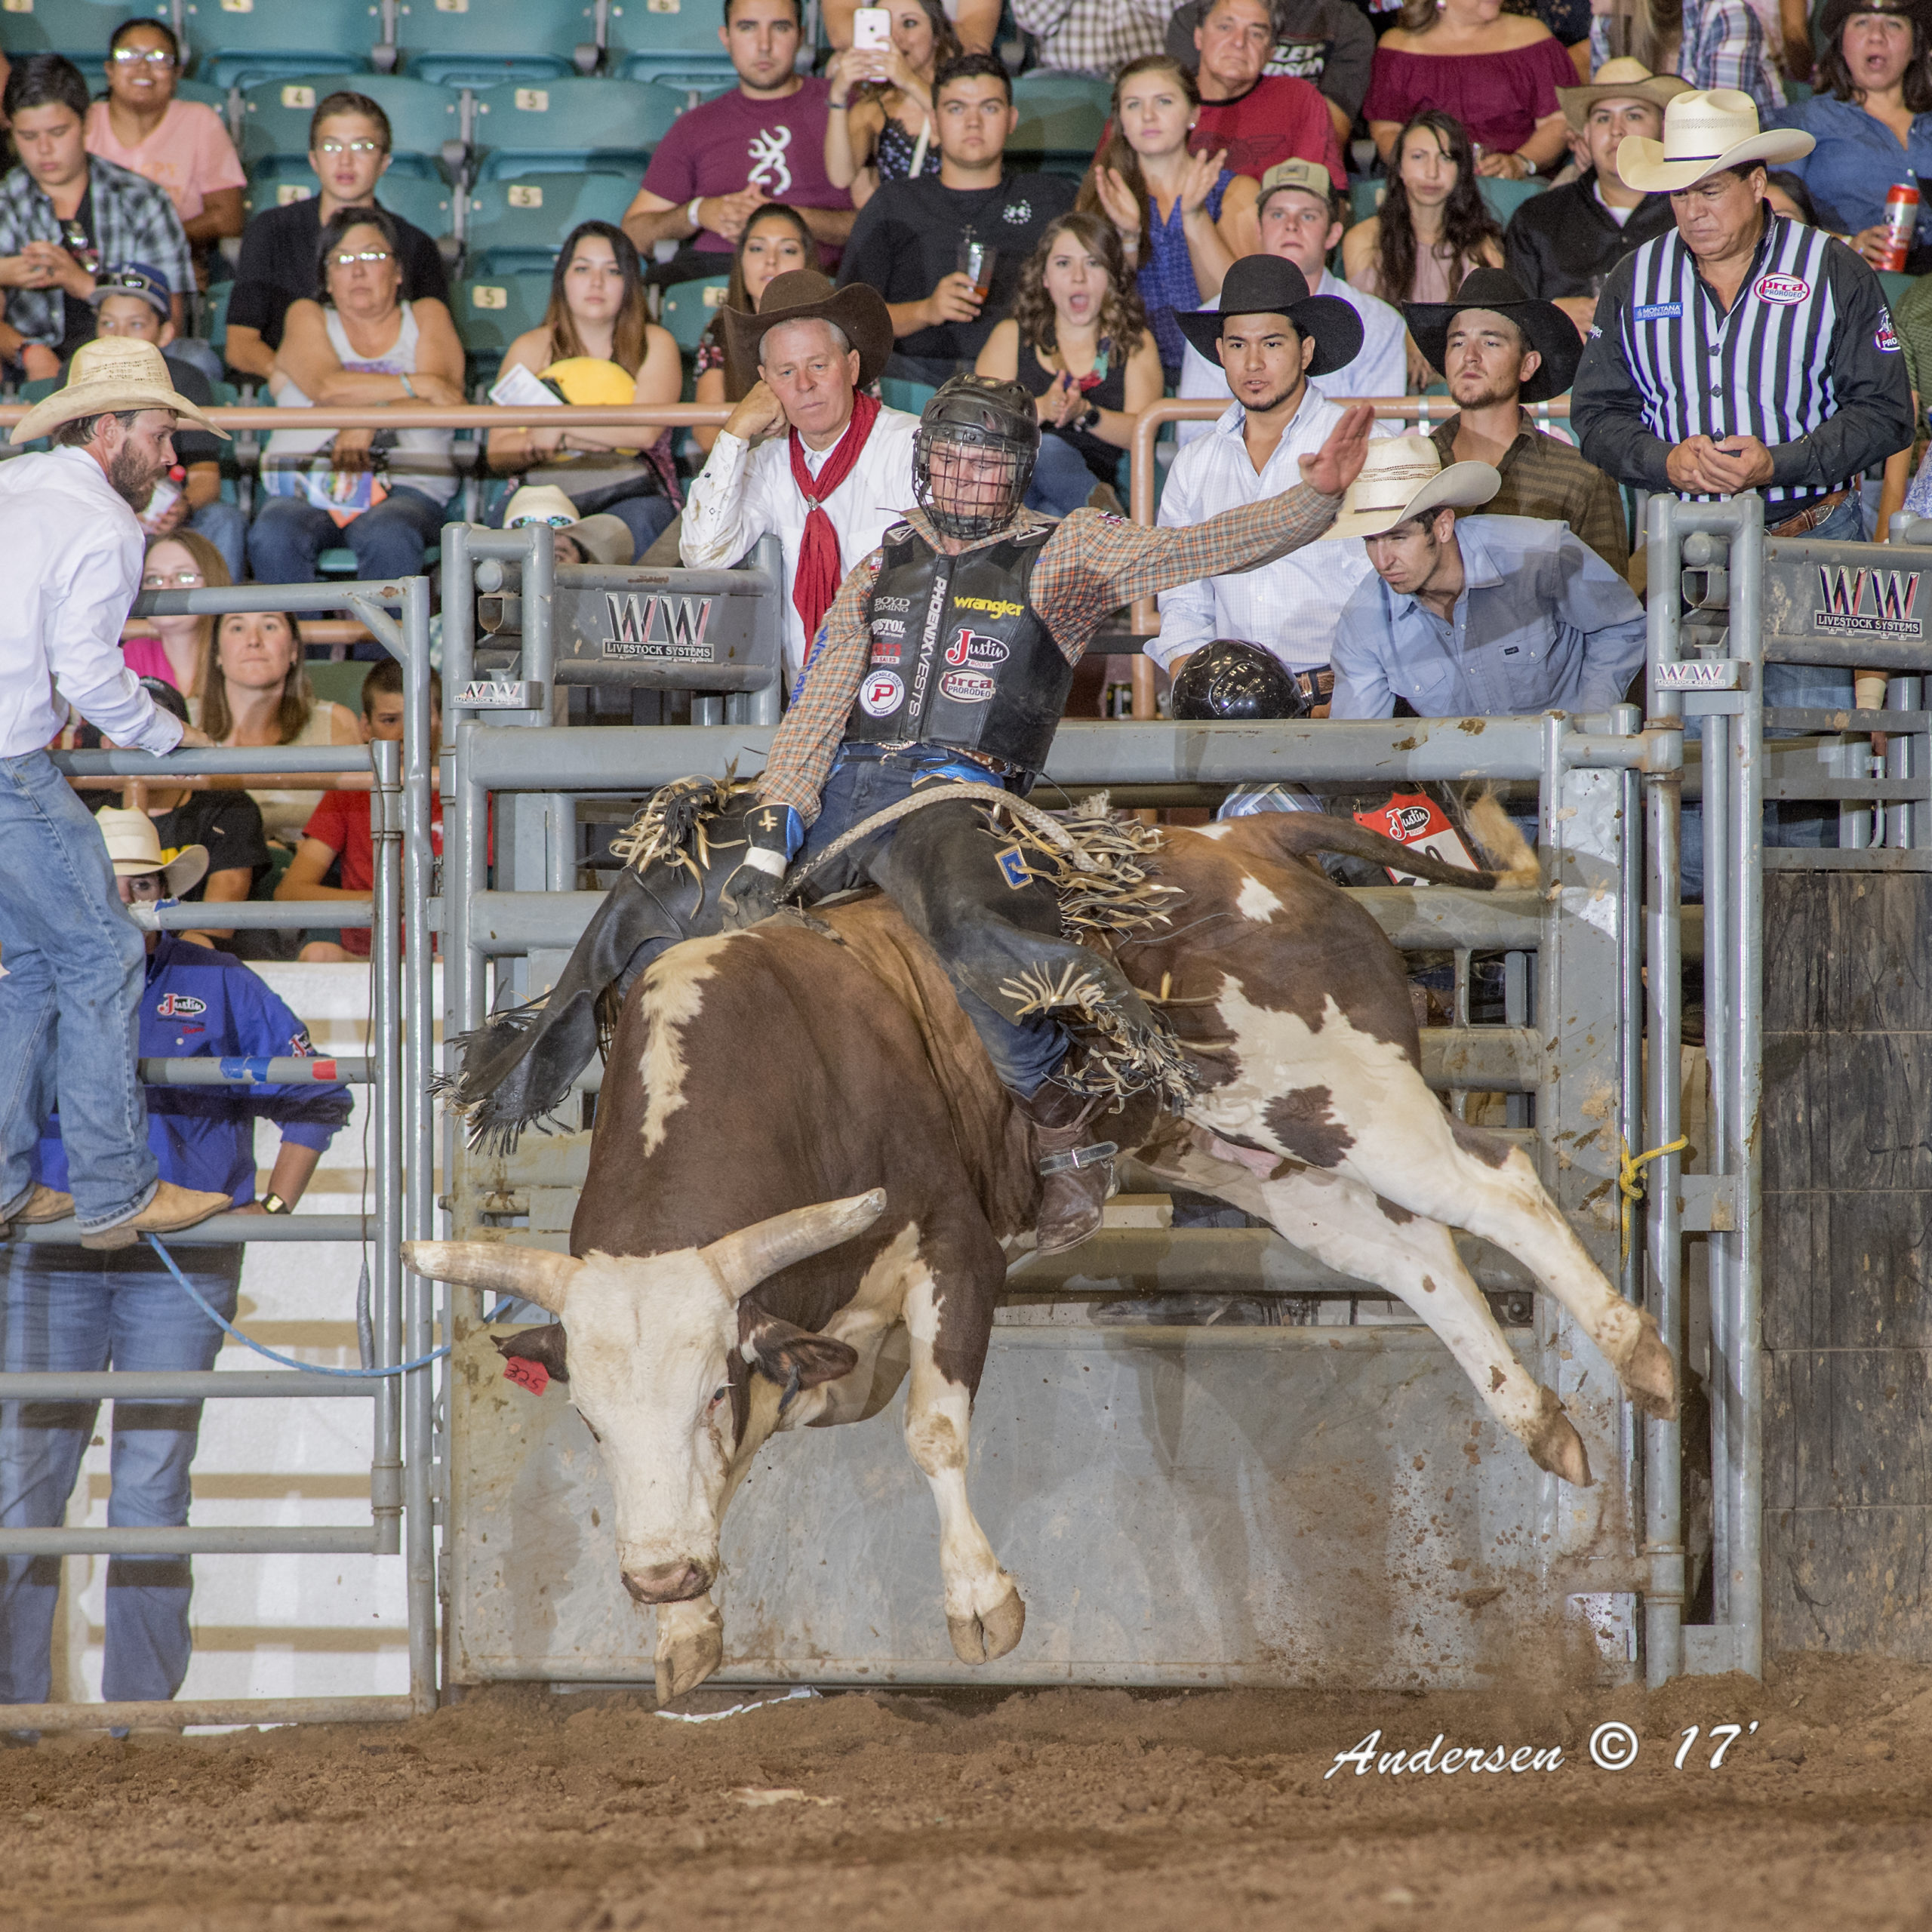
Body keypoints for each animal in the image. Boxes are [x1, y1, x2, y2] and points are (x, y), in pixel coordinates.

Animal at [411, 777, 1677, 1700]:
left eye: (708, 1393)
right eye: (588, 1419)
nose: (656, 1574)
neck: (792, 1067)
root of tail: (1251, 838)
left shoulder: (954, 1253)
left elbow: (931, 1429)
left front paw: (981, 1603)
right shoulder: (809, 1331)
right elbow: (751, 1456)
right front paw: (687, 1628)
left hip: (1342, 1098)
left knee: (1497, 1188)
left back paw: (1646, 1360)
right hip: (1257, 1160)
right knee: (1415, 1259)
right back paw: (1545, 1425)